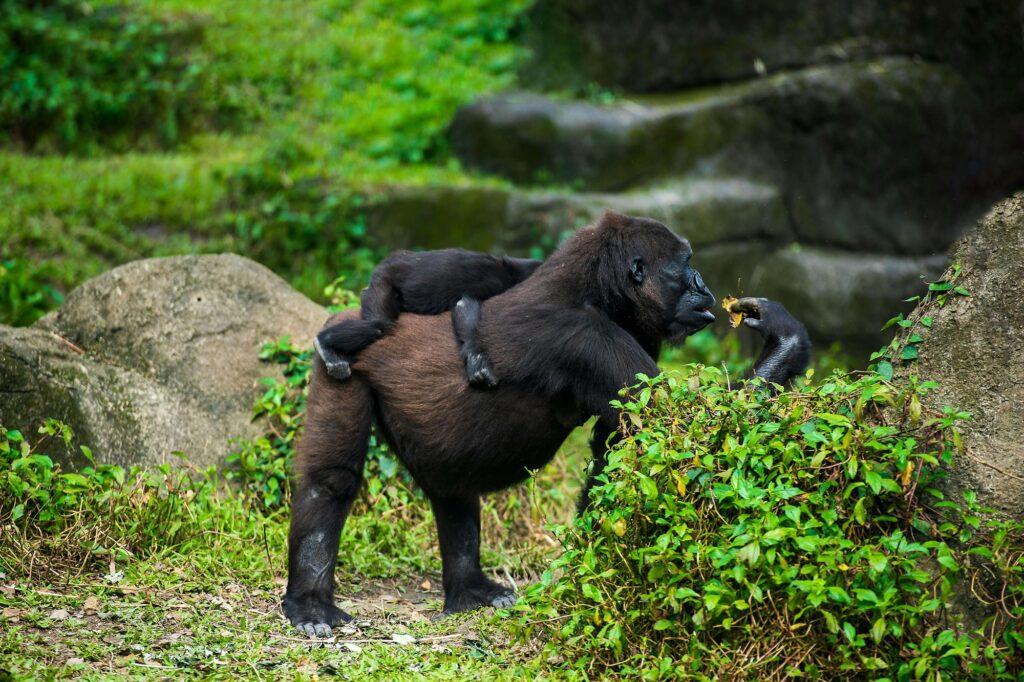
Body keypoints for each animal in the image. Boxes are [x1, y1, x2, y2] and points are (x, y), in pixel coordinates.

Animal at [314, 249, 541, 388]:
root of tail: (389, 259)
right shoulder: (493, 282)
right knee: (378, 325)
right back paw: (325, 345)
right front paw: (478, 360)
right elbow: (465, 305)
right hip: (383, 281)